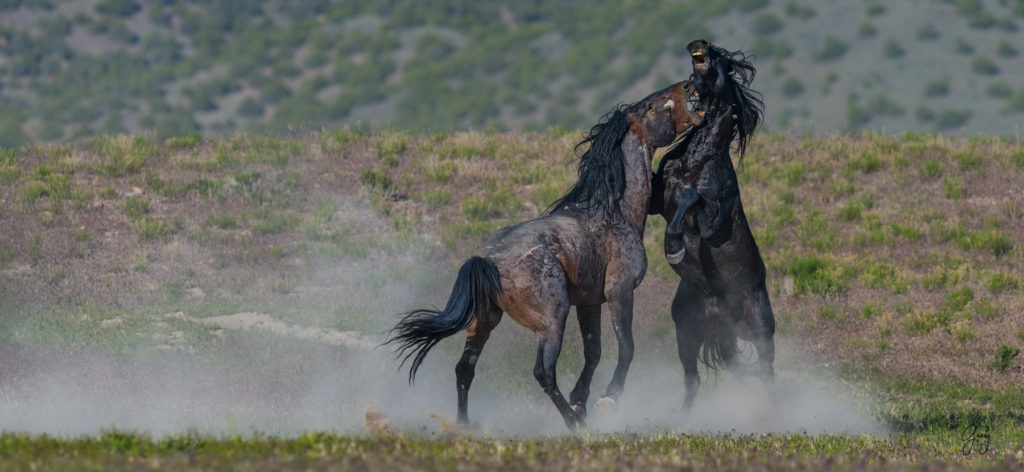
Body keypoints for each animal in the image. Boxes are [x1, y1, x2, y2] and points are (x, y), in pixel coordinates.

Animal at [385, 81, 704, 430]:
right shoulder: (619, 291)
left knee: (464, 368)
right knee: (542, 372)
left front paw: (581, 400)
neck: (613, 212)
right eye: (651, 105)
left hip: (483, 321)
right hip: (552, 320)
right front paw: (605, 400)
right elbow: (626, 347)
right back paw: (573, 423)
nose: (688, 85)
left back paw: (466, 424)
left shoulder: (589, 302)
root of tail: (486, 261)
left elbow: (594, 351)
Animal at [655, 39, 774, 407]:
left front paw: (674, 248)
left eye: (721, 57)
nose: (699, 45)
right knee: (694, 380)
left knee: (767, 375)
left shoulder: (711, 221)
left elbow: (691, 198)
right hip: (687, 332)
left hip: (761, 332)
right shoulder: (656, 201)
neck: (697, 158)